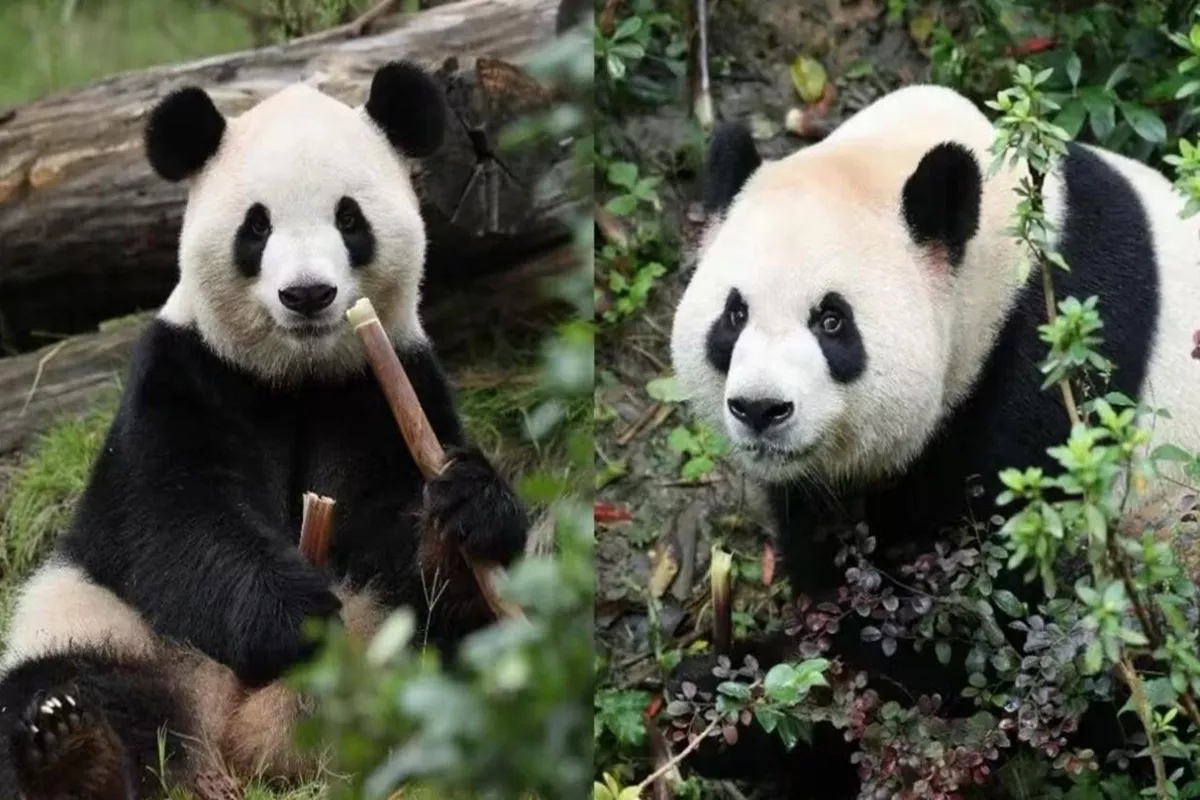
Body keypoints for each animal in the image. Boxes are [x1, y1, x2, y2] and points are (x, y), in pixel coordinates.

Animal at [0, 61, 530, 799]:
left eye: (349, 218)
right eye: (256, 227)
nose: (307, 295)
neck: (296, 376)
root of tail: (238, 741)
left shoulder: (385, 385)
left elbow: (402, 543)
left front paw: (466, 507)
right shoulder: (182, 376)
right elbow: (175, 520)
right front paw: (291, 615)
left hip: (390, 654)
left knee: (465, 657)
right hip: (100, 619)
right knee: (65, 683)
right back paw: (74, 749)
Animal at [669, 84, 1200, 795]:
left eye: (832, 321)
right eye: (734, 314)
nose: (760, 409)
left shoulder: (1052, 375)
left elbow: (965, 635)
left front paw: (742, 709)